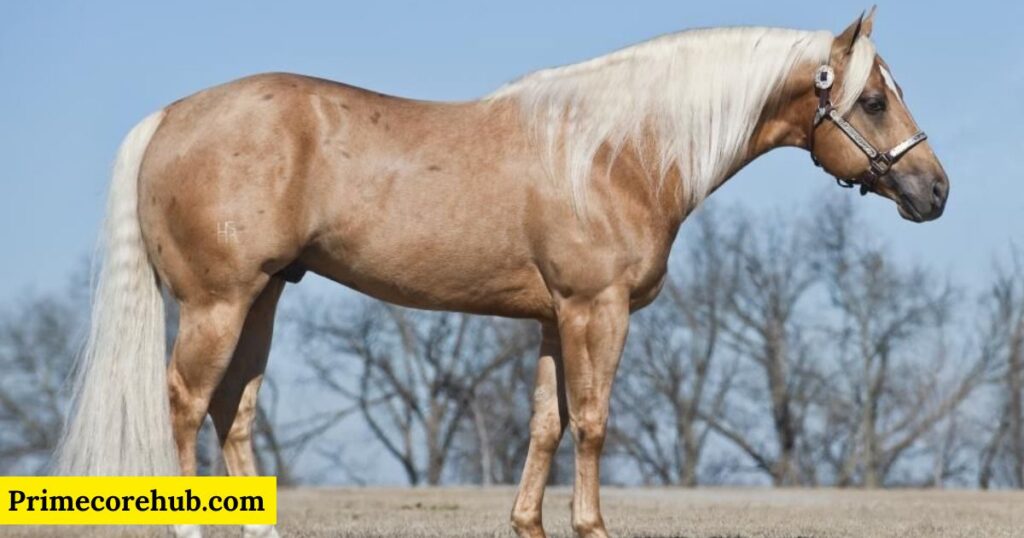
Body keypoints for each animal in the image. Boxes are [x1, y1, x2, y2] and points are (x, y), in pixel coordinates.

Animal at [59, 8, 946, 536]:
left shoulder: (553, 318)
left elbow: (545, 424)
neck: (615, 152)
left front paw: (531, 524)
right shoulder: (596, 310)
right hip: (219, 301)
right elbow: (592, 422)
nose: (934, 190)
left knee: (232, 411)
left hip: (264, 296)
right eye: (873, 101)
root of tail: (170, 117)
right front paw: (593, 526)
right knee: (185, 403)